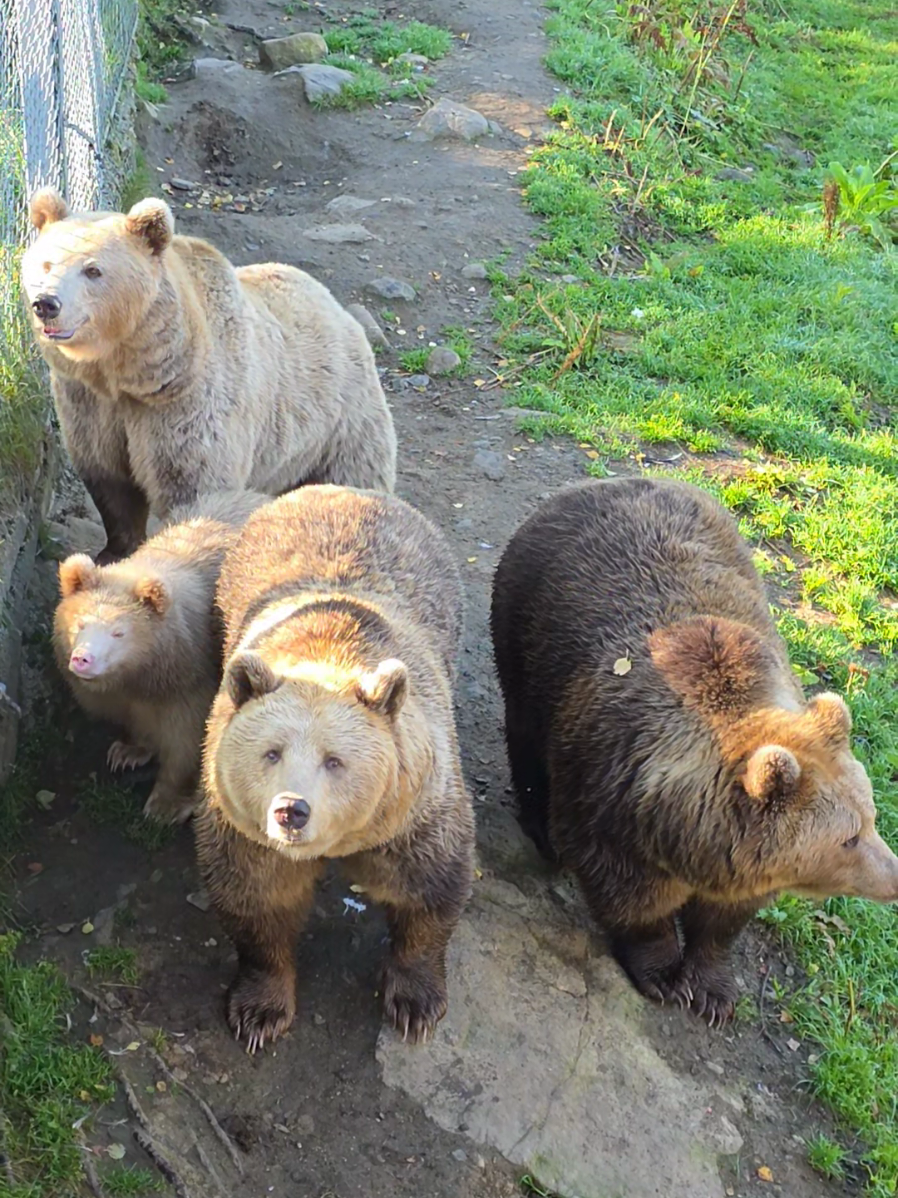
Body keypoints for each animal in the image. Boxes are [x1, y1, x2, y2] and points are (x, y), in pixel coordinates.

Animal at [22, 188, 397, 565]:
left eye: (93, 269)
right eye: (46, 263)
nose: (46, 303)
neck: (130, 370)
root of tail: (336, 306)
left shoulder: (187, 405)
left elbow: (193, 487)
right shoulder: (90, 403)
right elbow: (109, 482)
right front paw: (114, 550)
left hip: (340, 423)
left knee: (354, 477)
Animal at [53, 490, 270, 824]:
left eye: (118, 632)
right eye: (80, 623)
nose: (82, 659)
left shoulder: (193, 670)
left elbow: (187, 735)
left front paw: (165, 804)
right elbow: (137, 717)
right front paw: (127, 751)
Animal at [194, 484, 475, 1054]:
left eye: (334, 760)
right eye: (272, 752)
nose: (291, 811)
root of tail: (342, 488)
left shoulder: (414, 815)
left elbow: (431, 889)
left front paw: (416, 1003)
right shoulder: (244, 831)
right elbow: (257, 899)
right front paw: (259, 1010)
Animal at [491, 476, 898, 1026]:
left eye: (871, 818)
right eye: (848, 839)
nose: (894, 876)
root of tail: (600, 482)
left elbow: (725, 917)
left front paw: (713, 989)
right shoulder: (606, 799)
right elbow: (630, 897)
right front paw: (663, 972)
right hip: (525, 622)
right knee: (525, 730)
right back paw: (539, 829)